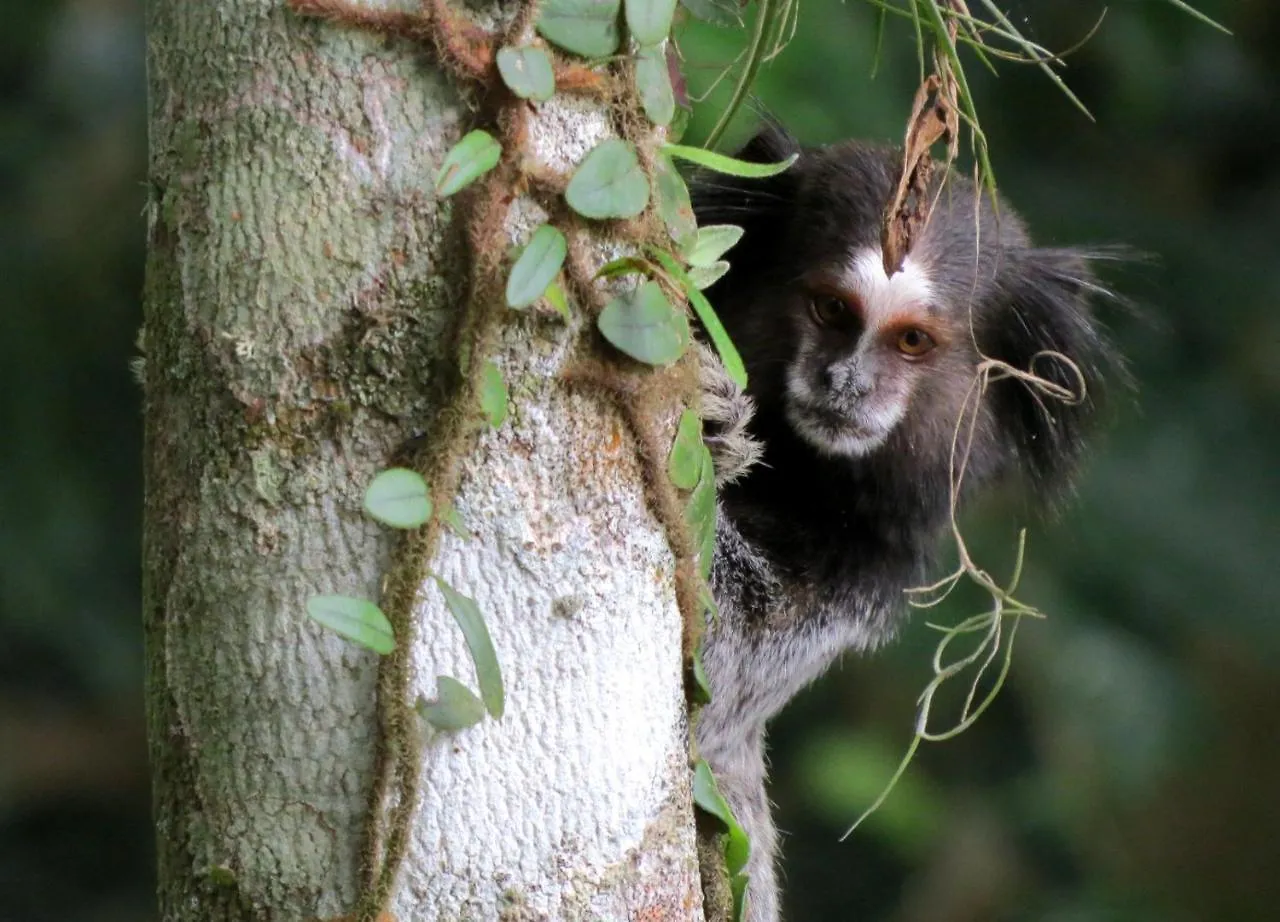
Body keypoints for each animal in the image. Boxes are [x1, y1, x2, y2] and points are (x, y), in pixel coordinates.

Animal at [691, 124, 1121, 922]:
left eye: (912, 341)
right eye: (832, 310)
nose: (845, 384)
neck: (801, 479)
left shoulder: (864, 576)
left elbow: (723, 659)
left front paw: (714, 434)